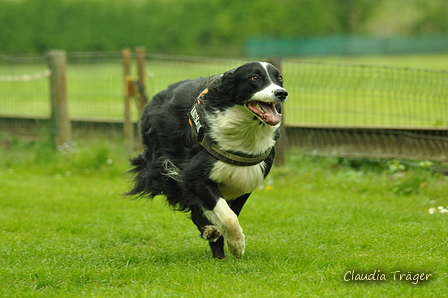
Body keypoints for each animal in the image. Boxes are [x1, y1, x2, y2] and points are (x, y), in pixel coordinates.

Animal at [127, 61, 288, 258]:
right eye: (254, 77)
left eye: (279, 78)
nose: (281, 93)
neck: (245, 132)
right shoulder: (194, 177)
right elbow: (227, 215)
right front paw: (236, 244)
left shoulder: (244, 181)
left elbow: (229, 212)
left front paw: (226, 247)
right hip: (165, 166)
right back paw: (208, 230)